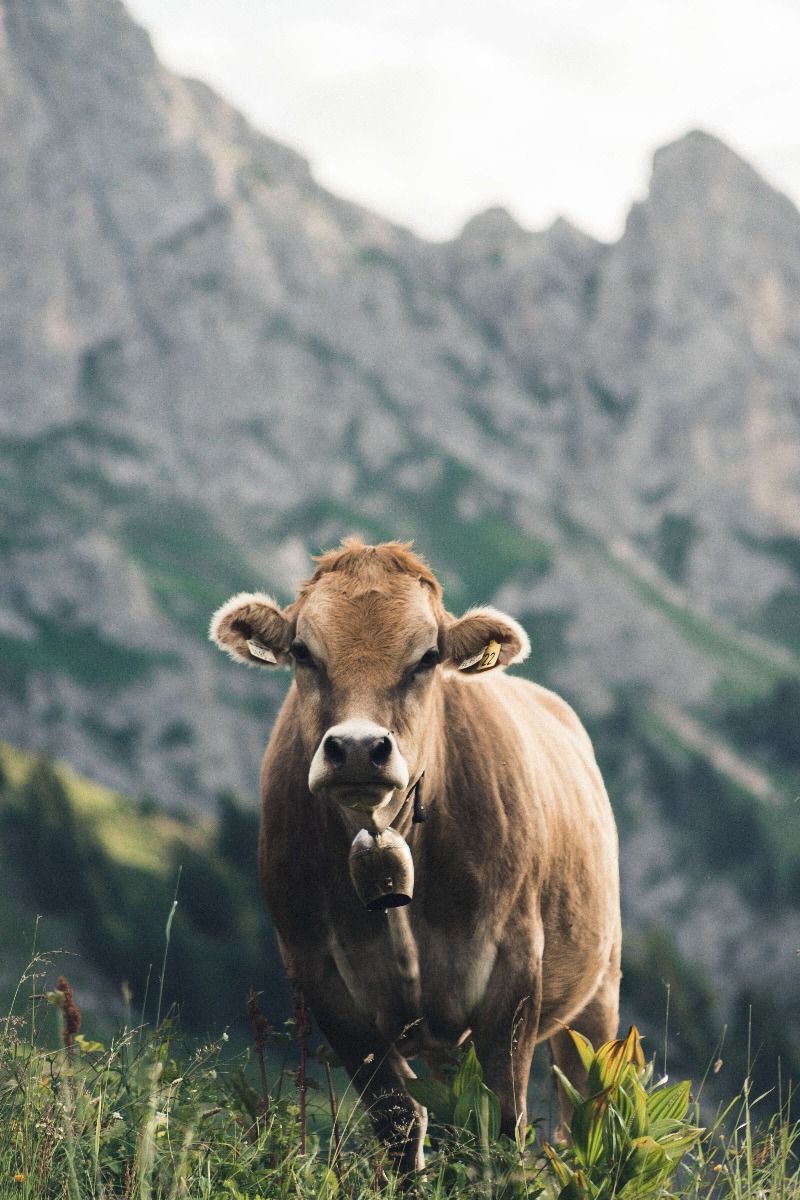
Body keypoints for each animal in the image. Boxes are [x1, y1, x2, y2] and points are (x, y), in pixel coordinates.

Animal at [209, 542, 623, 1171]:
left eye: (427, 657)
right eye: (304, 652)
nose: (358, 748)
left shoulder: (515, 969)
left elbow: (503, 1124)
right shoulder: (322, 980)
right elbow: (402, 1123)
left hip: (598, 992)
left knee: (586, 1111)